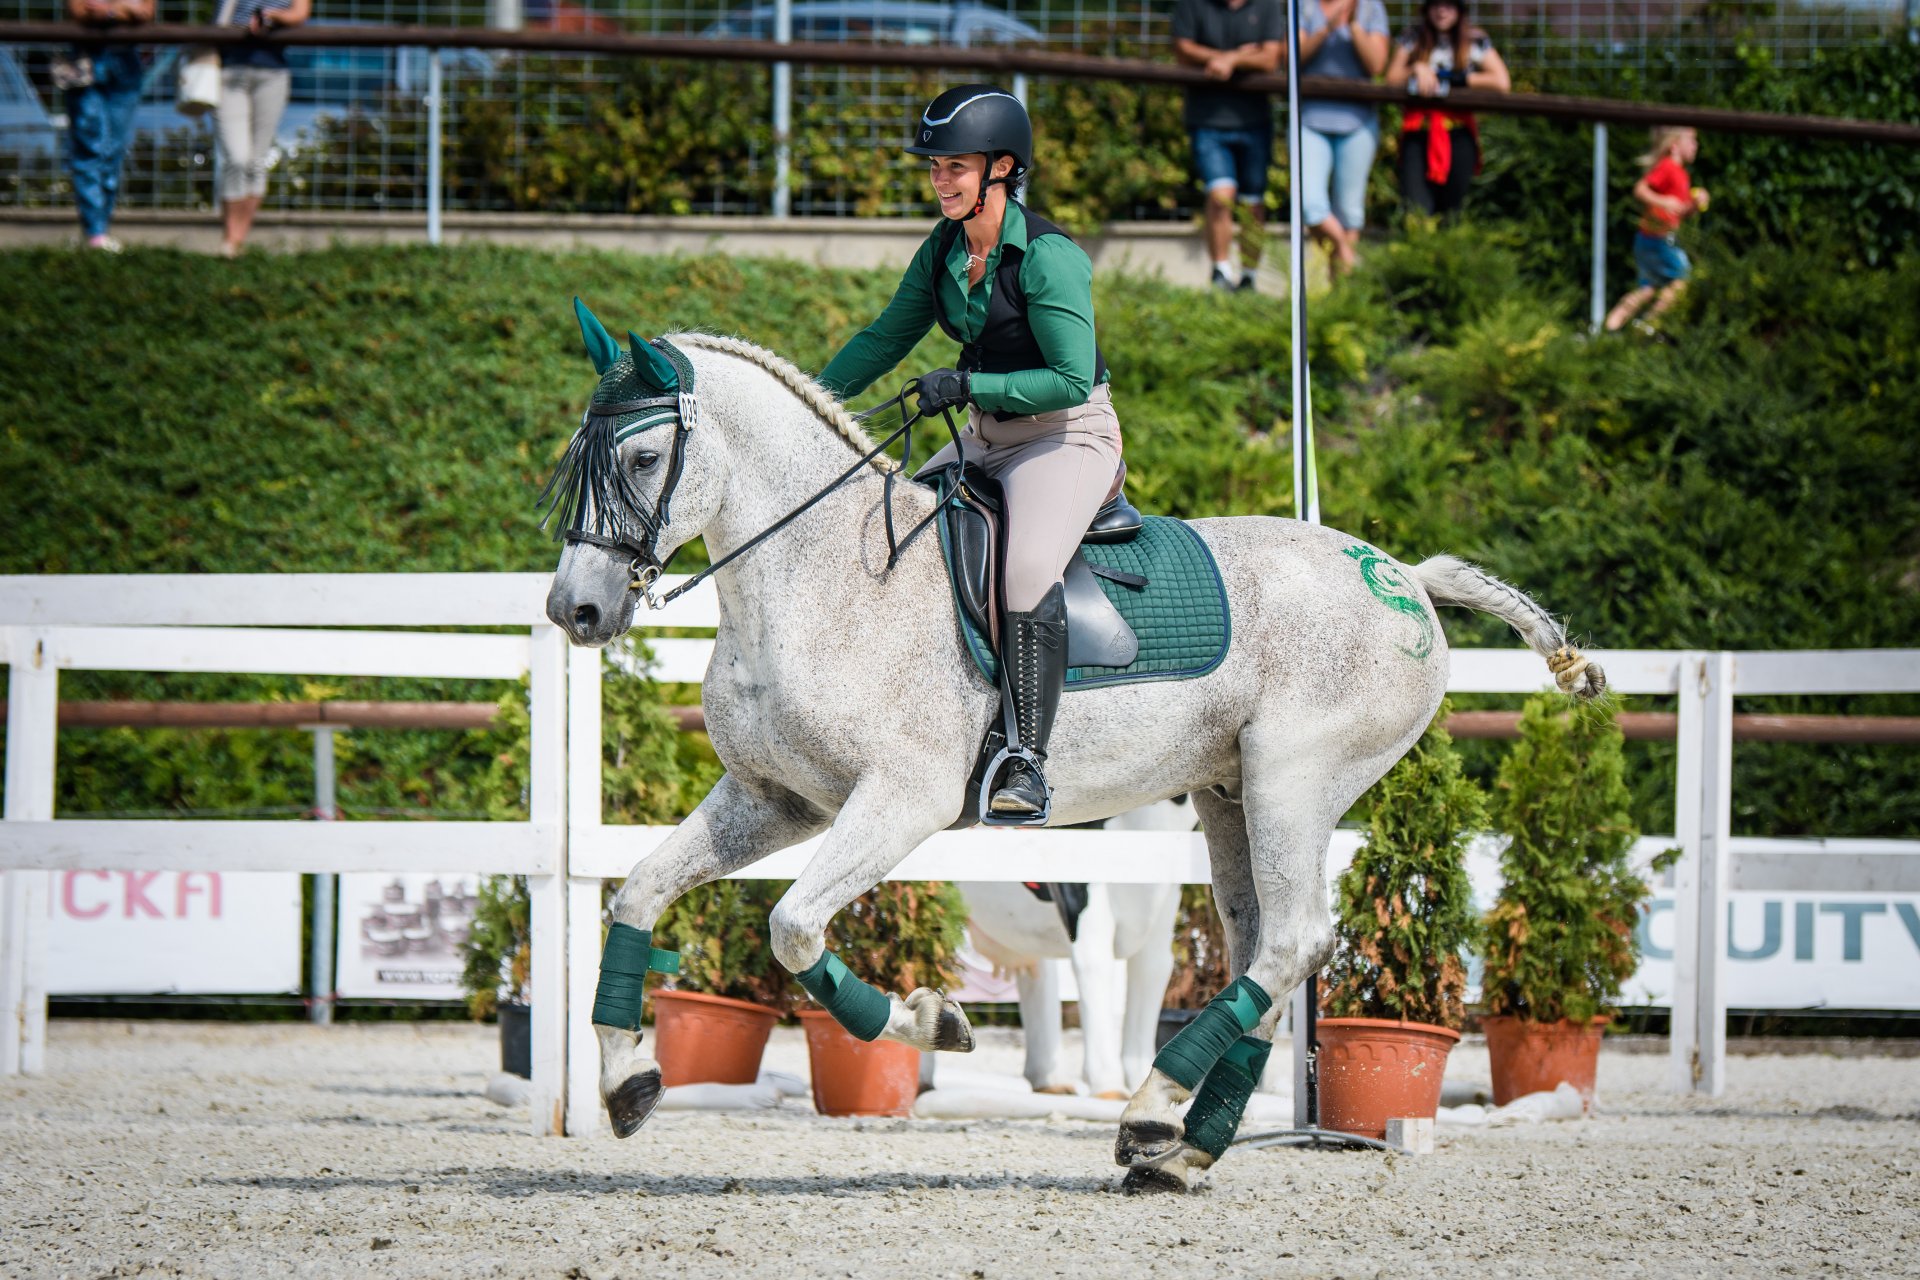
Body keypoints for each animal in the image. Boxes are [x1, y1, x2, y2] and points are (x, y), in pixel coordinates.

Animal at [545, 322, 1605, 1189]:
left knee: (1297, 939)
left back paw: (1150, 1111)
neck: (823, 577)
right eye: (576, 461)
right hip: (1230, 796)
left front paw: (930, 1021)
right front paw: (629, 1081)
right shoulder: (774, 798)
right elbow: (638, 892)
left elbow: (795, 927)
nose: (575, 611)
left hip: (1294, 782)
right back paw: (1181, 1147)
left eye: (643, 455)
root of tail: (1403, 575)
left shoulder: (898, 801)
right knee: (1266, 947)